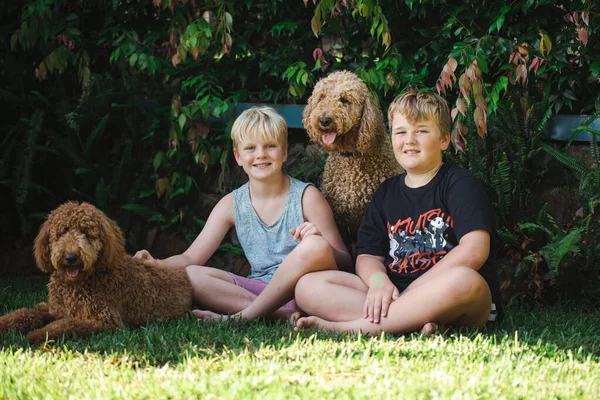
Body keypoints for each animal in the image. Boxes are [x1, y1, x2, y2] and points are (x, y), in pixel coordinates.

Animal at [0, 202, 192, 346]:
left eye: (86, 234)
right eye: (61, 233)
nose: (70, 257)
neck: (78, 283)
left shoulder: (105, 321)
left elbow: (67, 324)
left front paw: (39, 335)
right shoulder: (54, 308)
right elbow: (25, 313)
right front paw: (4, 325)